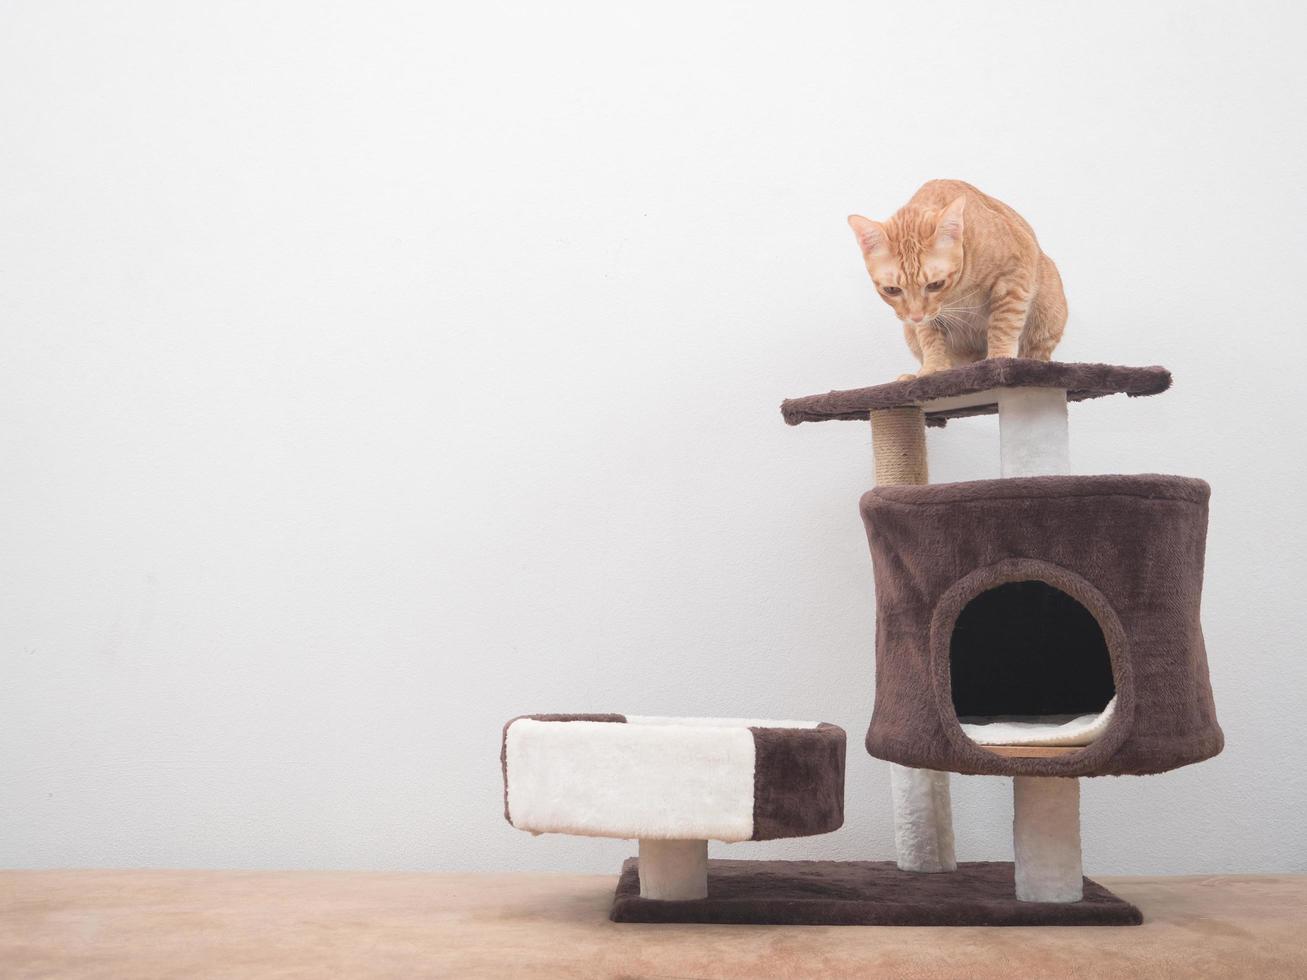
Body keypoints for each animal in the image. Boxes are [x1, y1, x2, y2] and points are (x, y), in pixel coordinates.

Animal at [852, 180, 1066, 378]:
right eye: (892, 290)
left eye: (935, 284)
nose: (916, 317)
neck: (958, 291)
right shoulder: (927, 320)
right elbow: (930, 338)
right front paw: (933, 368)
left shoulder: (1013, 277)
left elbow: (1003, 325)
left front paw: (999, 358)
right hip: (910, 332)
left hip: (1047, 317)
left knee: (1035, 353)